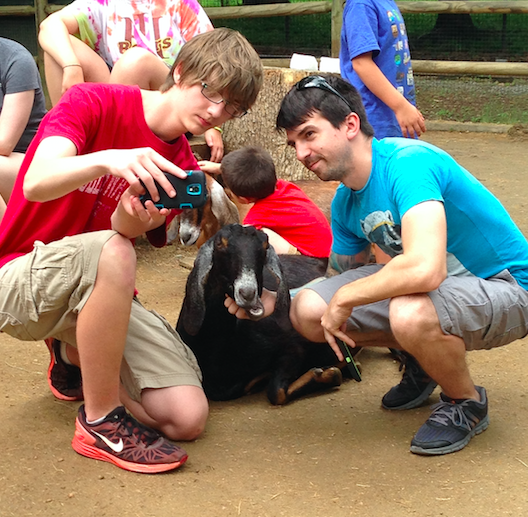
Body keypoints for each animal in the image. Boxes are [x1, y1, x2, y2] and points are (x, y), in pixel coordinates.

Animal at [175, 224, 352, 406]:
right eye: (219, 244)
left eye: (265, 246)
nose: (247, 293)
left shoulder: (295, 345)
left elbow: (277, 392)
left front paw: (329, 373)